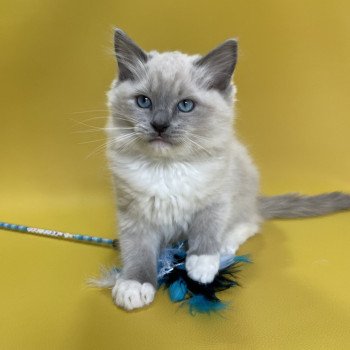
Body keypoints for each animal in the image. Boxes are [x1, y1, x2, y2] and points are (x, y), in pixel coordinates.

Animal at [105, 28, 350, 310]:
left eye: (185, 105)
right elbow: (137, 251)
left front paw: (202, 265)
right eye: (144, 101)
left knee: (250, 222)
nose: (159, 125)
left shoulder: (216, 199)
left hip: (242, 191)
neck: (167, 167)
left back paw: (224, 247)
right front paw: (133, 285)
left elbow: (206, 231)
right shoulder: (134, 215)